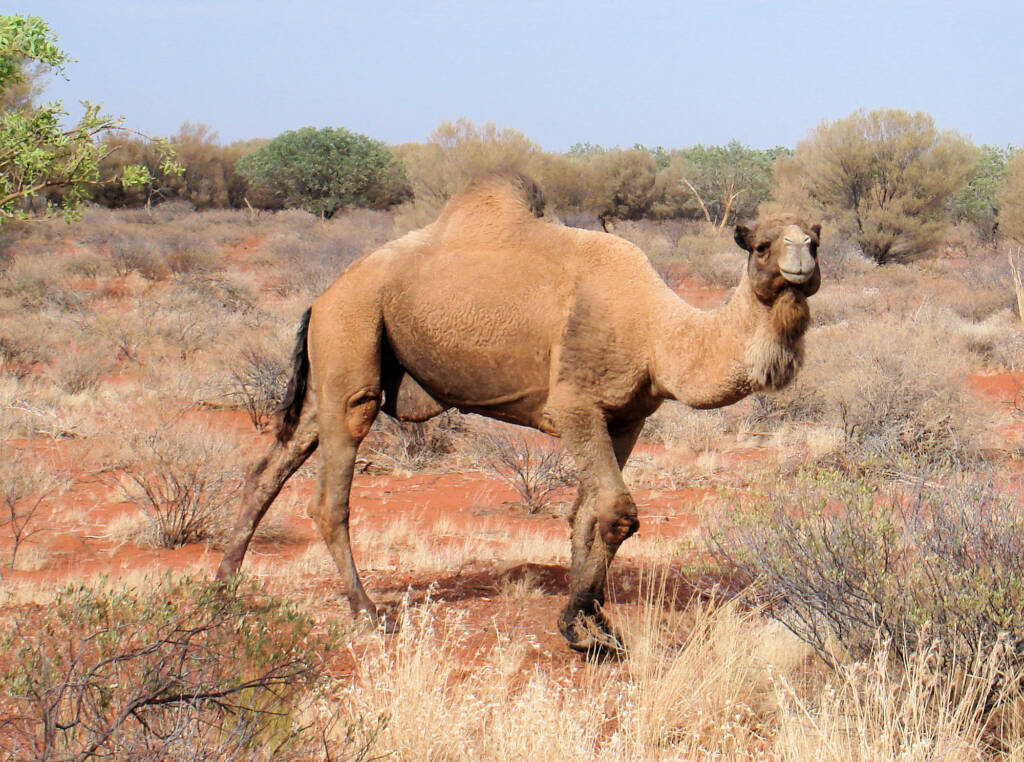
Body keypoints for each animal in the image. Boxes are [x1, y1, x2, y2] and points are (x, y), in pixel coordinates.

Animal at [216, 174, 821, 655]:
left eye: (816, 238)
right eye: (762, 245)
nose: (801, 261)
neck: (656, 332)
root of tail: (322, 296)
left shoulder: (627, 417)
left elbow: (586, 514)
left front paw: (595, 620)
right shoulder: (575, 404)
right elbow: (617, 511)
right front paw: (578, 627)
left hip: (336, 367)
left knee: (270, 466)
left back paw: (225, 584)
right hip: (353, 333)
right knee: (331, 490)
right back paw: (366, 612)